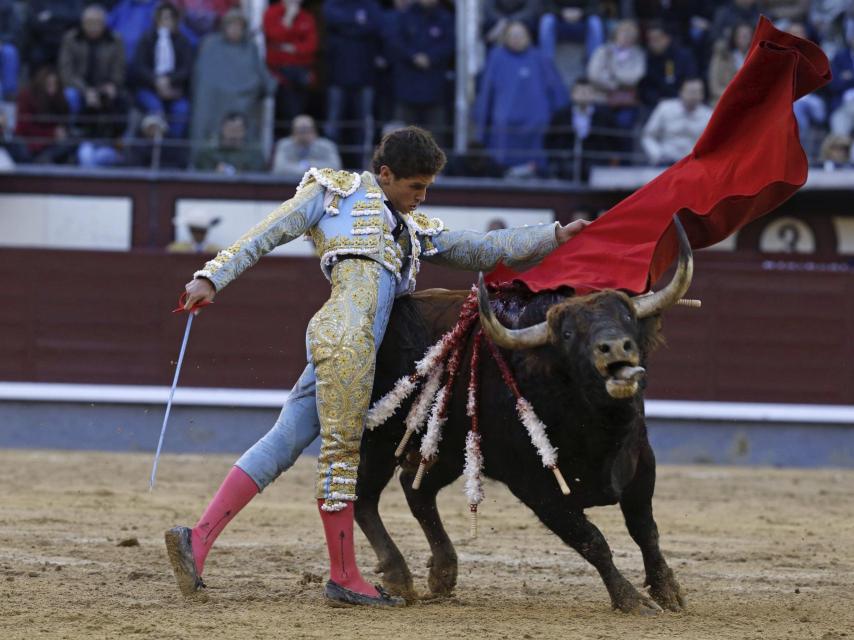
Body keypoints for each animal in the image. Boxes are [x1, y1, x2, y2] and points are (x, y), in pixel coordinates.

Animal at [354, 221, 696, 616]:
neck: (593, 423)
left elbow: (645, 528)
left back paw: (443, 572)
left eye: (626, 318)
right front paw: (631, 599)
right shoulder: (537, 490)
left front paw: (667, 590)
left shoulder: (641, 462)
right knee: (364, 497)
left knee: (416, 488)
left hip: (449, 449)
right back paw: (398, 575)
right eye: (568, 334)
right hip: (381, 439)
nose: (614, 347)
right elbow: (592, 541)